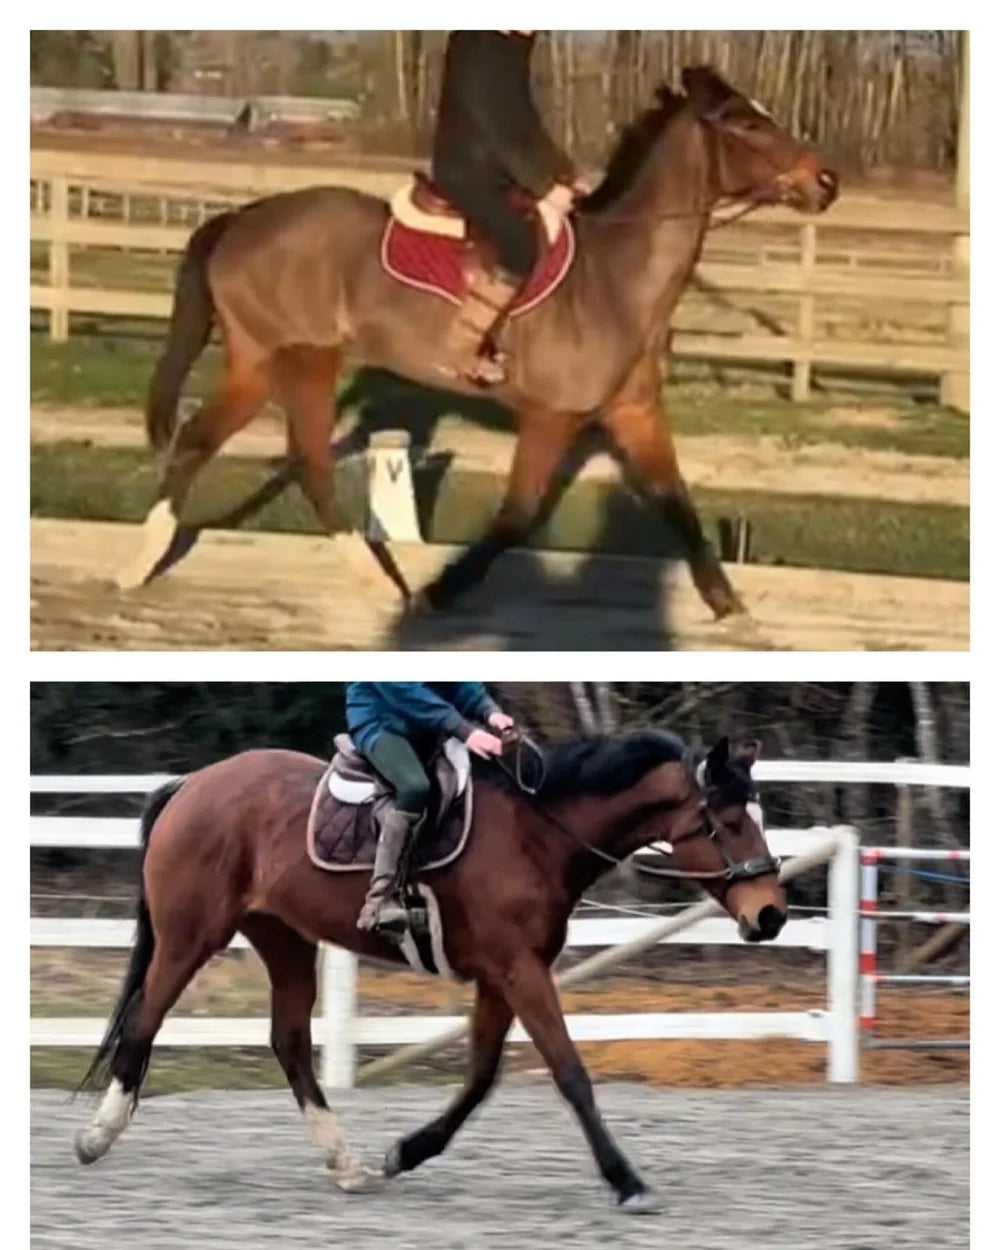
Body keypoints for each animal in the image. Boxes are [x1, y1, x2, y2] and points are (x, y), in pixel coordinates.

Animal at [74, 730, 785, 1210]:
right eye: (726, 822)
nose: (772, 914)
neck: (539, 833)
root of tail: (193, 783)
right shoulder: (519, 970)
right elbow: (570, 1074)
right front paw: (626, 1181)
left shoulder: (504, 975)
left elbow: (479, 1078)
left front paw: (406, 1152)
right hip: (190, 935)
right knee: (145, 1018)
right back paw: (97, 1138)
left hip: (285, 940)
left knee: (290, 1043)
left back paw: (347, 1162)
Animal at [119, 65, 838, 622]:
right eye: (744, 123)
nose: (825, 181)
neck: (614, 276)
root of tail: (242, 218)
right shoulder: (551, 417)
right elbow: (518, 514)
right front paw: (443, 590)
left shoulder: (635, 414)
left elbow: (677, 502)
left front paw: (726, 603)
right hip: (303, 357)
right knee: (303, 457)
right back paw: (373, 581)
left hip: (259, 360)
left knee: (209, 441)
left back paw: (147, 562)